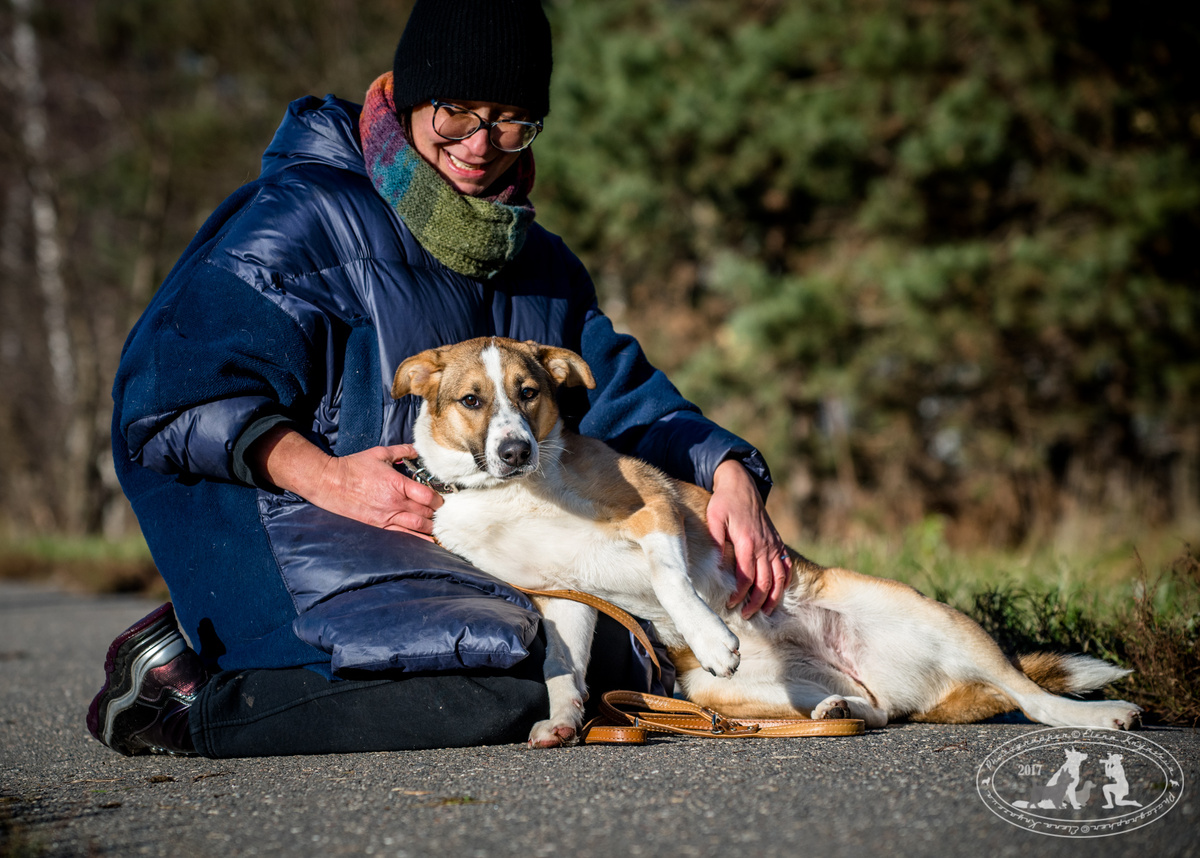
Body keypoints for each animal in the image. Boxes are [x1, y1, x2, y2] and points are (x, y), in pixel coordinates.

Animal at [391, 336, 1142, 744]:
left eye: (529, 392)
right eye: (472, 401)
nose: (515, 451)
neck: (510, 495)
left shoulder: (652, 512)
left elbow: (669, 575)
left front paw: (713, 633)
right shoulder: (564, 597)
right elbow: (563, 669)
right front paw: (560, 723)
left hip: (941, 621)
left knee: (1027, 694)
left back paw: (1100, 715)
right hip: (720, 693)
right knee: (873, 711)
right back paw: (841, 707)